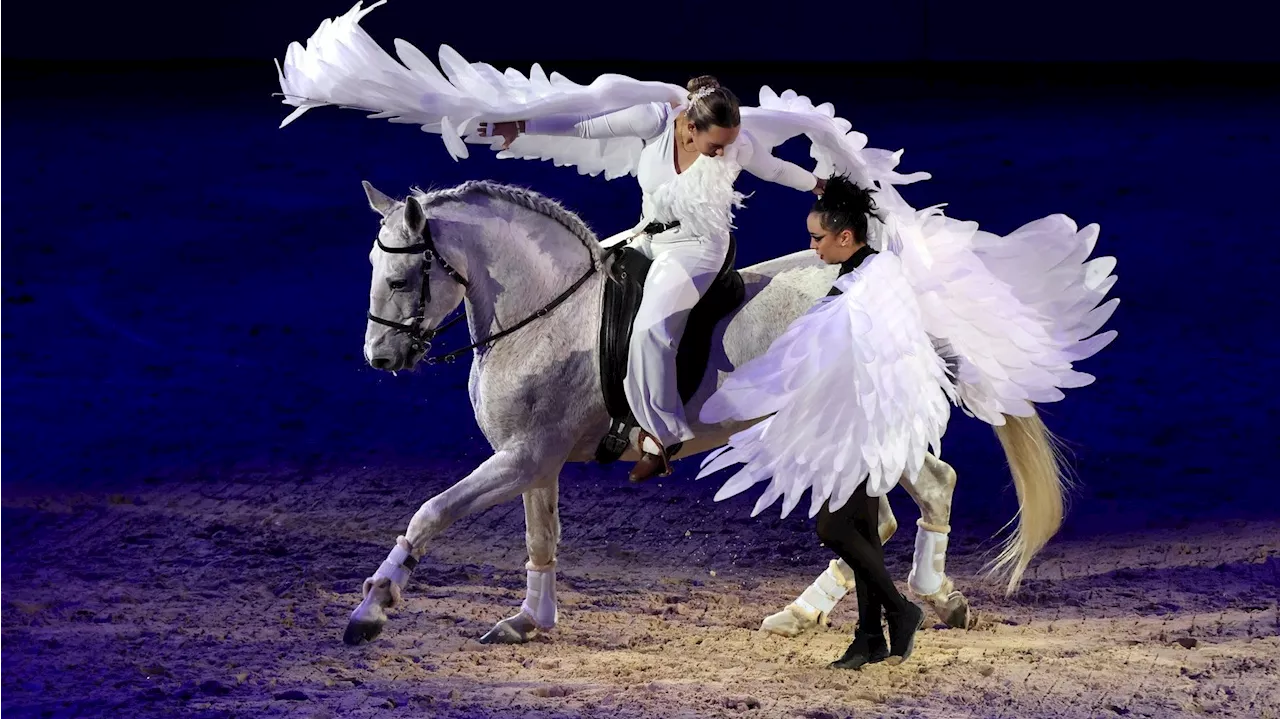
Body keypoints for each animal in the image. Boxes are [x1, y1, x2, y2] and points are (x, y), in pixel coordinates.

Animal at [343, 177, 1070, 644]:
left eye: (401, 277)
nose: (380, 356)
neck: (548, 310)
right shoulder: (534, 460)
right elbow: (540, 538)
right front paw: (530, 622)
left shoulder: (521, 456)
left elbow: (429, 512)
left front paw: (371, 610)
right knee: (885, 516)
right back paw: (802, 613)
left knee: (934, 487)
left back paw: (937, 597)